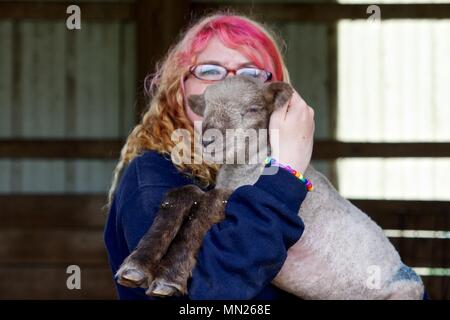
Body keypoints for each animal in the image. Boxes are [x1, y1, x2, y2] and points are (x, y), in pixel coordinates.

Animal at [114, 75, 424, 300]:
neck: (245, 169)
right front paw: (137, 265)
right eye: (204, 109)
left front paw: (169, 277)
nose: (209, 139)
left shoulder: (237, 197)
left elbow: (208, 204)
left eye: (252, 109)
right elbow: (184, 193)